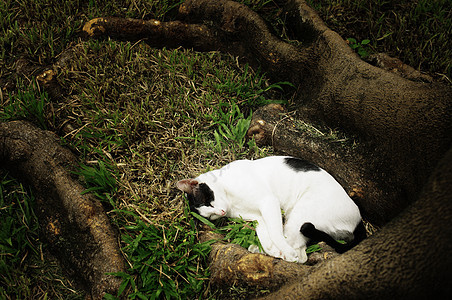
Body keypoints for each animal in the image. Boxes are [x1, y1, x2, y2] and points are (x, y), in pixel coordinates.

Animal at [175, 156, 366, 264]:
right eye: (210, 216)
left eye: (208, 200)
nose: (220, 213)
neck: (232, 203)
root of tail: (359, 220)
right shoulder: (258, 216)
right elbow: (265, 236)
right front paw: (271, 249)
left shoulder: (268, 202)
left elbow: (275, 233)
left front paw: (281, 250)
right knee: (301, 253)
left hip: (300, 216)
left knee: (298, 251)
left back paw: (284, 253)